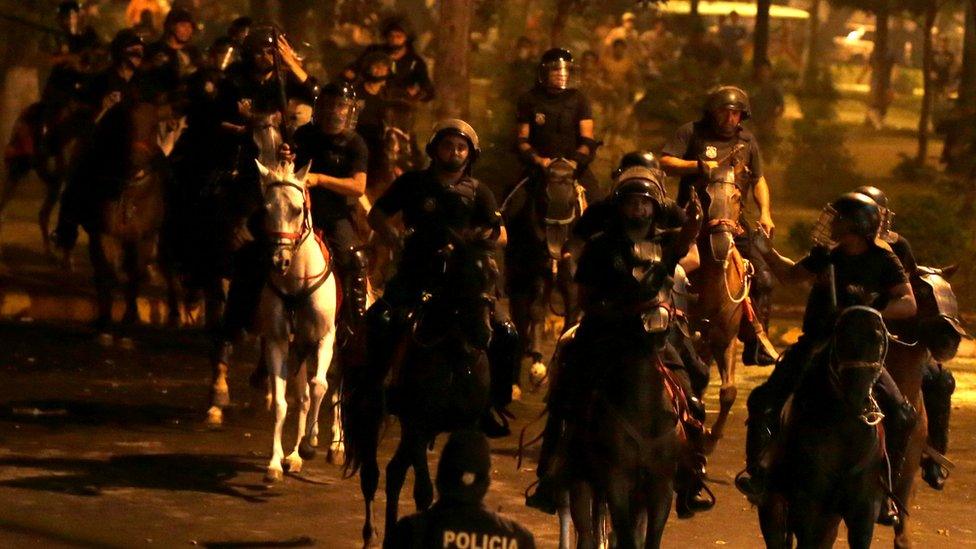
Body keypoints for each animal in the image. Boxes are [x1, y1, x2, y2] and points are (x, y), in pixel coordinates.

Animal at [255, 157, 344, 480]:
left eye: (296, 209)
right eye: (265, 209)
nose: (279, 261)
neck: (297, 282)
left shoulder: (325, 338)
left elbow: (321, 386)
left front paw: (311, 443)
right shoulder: (278, 342)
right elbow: (283, 402)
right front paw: (275, 462)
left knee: (336, 389)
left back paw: (335, 446)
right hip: (300, 350)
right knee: (304, 397)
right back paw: (293, 456)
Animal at [342, 233, 496, 544]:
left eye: (492, 274)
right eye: (462, 275)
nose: (483, 333)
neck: (453, 357)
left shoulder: (462, 426)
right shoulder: (417, 425)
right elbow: (423, 492)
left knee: (394, 473)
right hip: (372, 415)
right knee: (372, 476)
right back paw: (370, 535)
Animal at [764, 306, 892, 544]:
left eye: (879, 338)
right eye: (841, 337)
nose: (857, 396)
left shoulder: (862, 514)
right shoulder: (808, 510)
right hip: (775, 509)